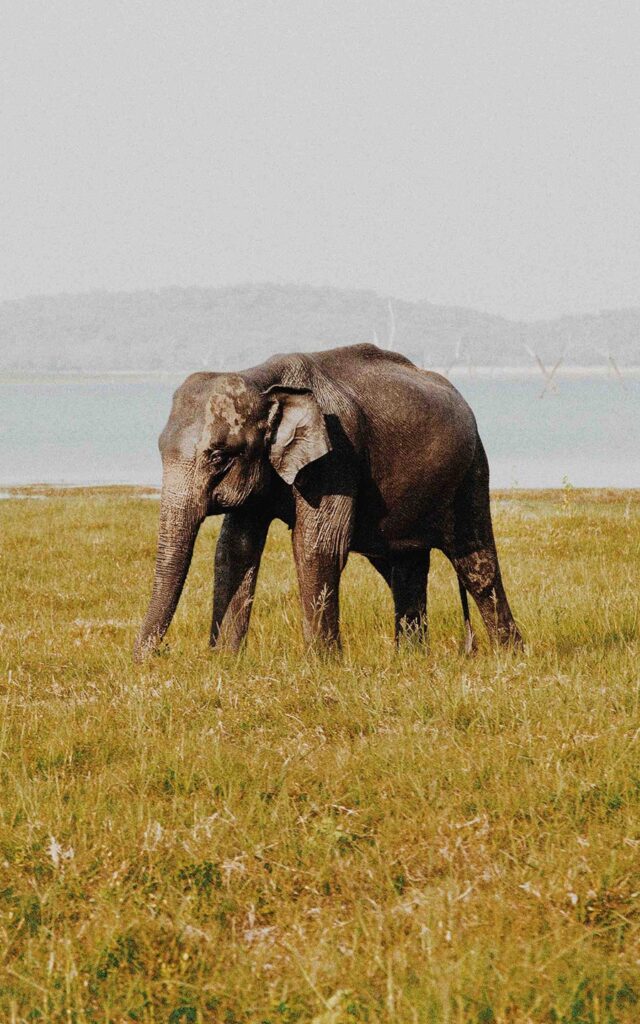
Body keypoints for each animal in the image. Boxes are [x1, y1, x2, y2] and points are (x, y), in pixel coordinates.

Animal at [134, 343, 522, 661]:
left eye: (217, 456)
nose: (155, 656)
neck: (262, 379)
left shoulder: (336, 455)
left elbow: (318, 546)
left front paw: (322, 664)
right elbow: (235, 549)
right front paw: (225, 661)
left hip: (471, 471)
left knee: (475, 563)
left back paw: (509, 656)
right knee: (403, 568)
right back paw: (412, 659)